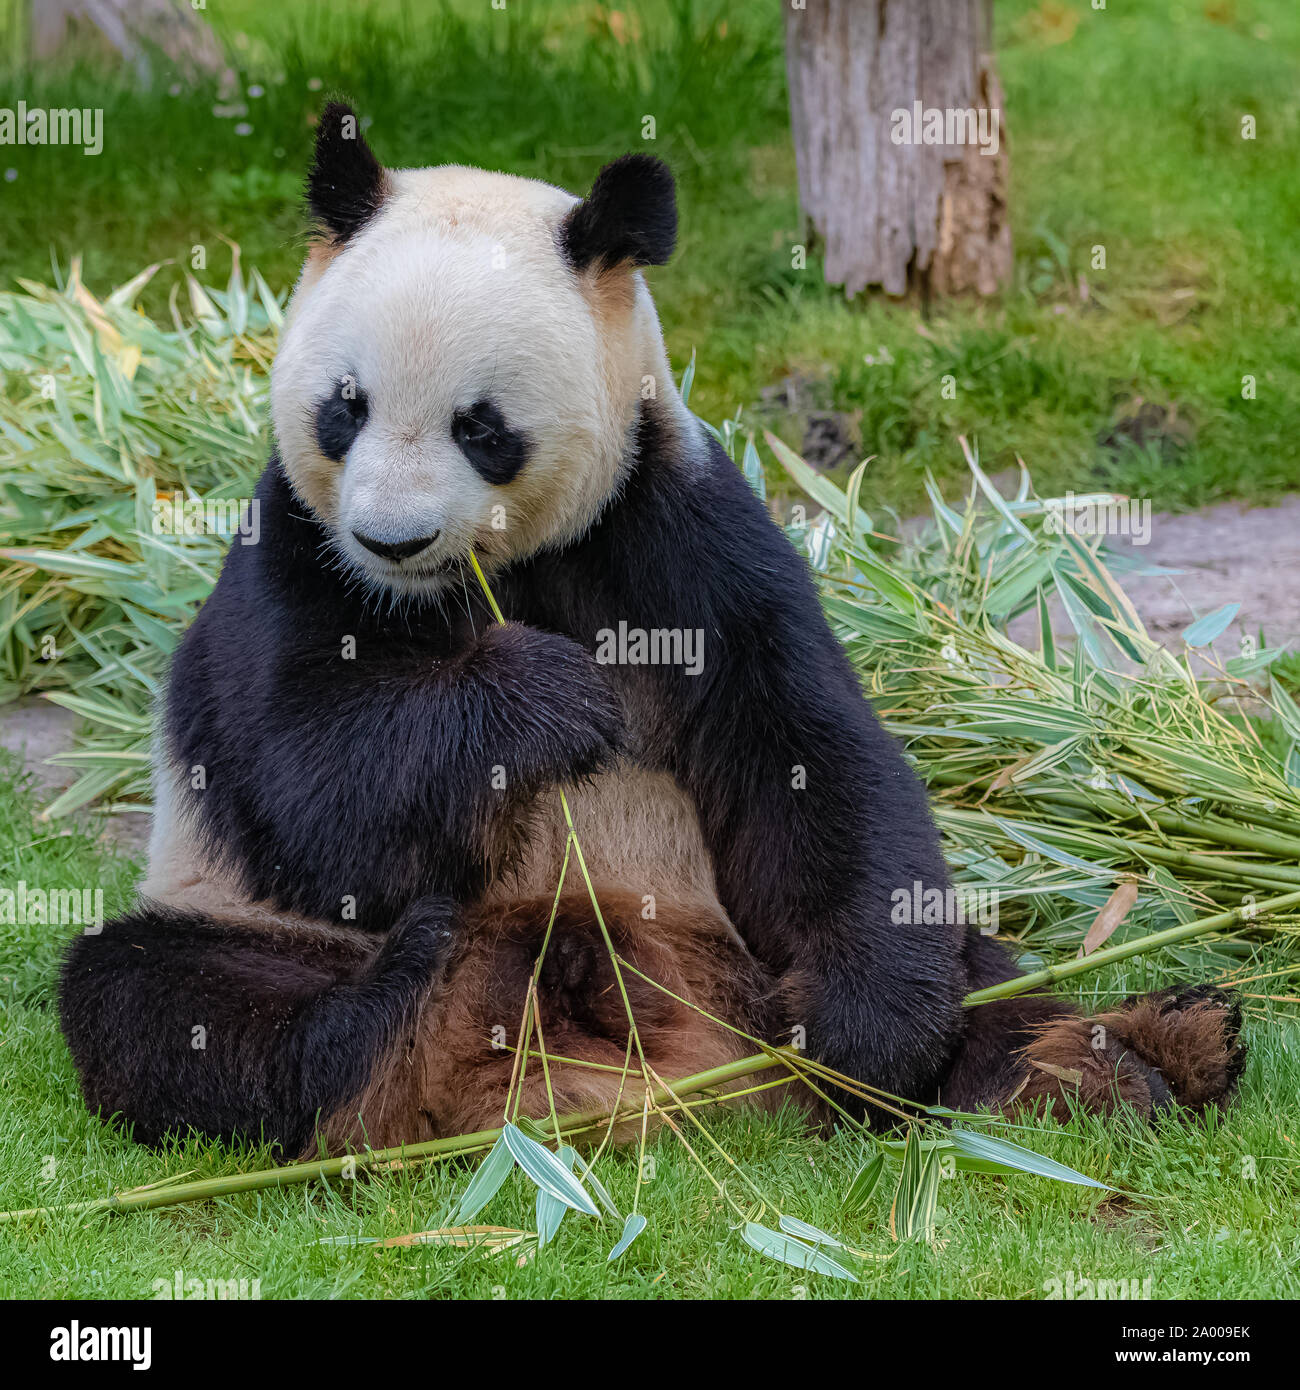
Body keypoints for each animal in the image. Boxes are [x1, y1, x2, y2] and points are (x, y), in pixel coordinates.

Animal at [59, 103, 1245, 1157]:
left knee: (974, 969)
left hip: (739, 942)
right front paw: (544, 701)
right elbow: (304, 782)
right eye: (343, 407)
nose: (393, 538)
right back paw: (401, 997)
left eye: (480, 427)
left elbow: (805, 754)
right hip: (230, 919)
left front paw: (866, 1034)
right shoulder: (294, 555)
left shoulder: (671, 526)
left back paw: (1131, 1056)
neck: (482, 578)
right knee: (168, 1002)